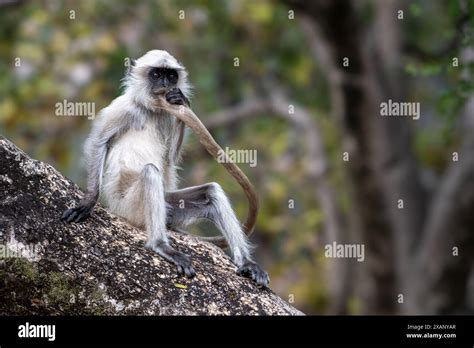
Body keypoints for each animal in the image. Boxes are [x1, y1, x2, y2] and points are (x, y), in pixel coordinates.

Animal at [62, 50, 270, 286]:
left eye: (171, 76)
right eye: (155, 74)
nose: (164, 83)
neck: (150, 110)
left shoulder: (168, 116)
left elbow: (170, 158)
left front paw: (181, 99)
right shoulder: (121, 108)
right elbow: (98, 143)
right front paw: (88, 201)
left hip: (169, 205)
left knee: (211, 191)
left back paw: (247, 264)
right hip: (128, 207)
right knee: (150, 172)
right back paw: (161, 245)